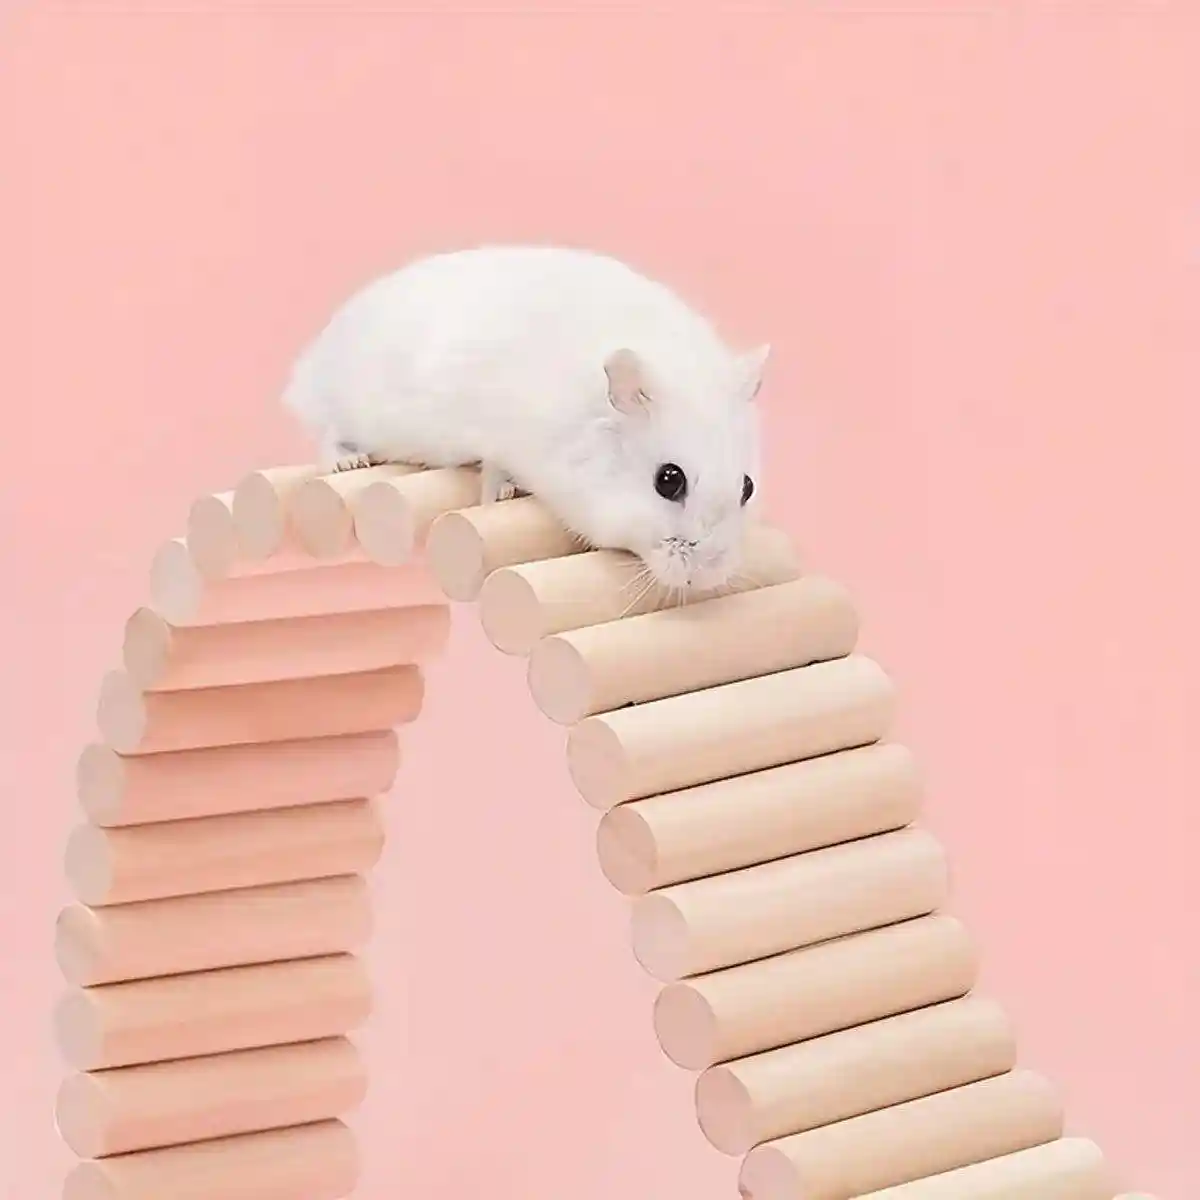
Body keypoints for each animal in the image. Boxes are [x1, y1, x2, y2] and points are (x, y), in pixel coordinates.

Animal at [282, 244, 769, 591]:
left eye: (747, 487)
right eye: (668, 480)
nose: (708, 575)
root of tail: (310, 363)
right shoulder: (501, 438)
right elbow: (495, 471)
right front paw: (503, 494)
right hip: (344, 403)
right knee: (327, 436)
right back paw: (349, 460)